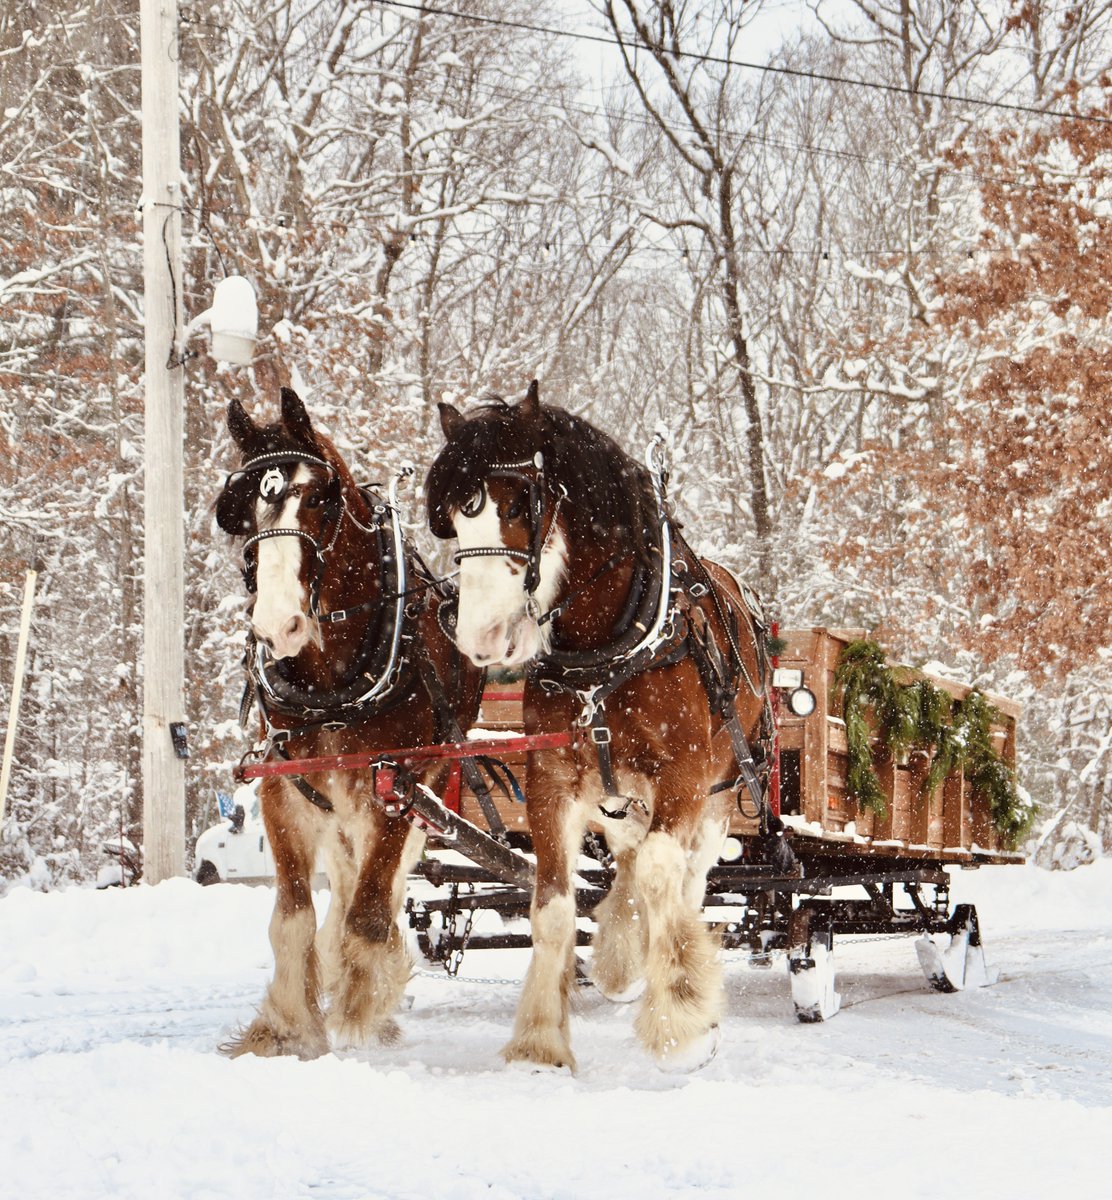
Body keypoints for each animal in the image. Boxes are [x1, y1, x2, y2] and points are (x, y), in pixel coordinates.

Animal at [215, 386, 483, 1058]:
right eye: (242, 510)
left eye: (318, 498)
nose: (276, 625)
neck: (332, 686)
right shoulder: (283, 787)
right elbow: (292, 919)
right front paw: (288, 1026)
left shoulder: (398, 783)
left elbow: (369, 908)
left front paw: (363, 1010)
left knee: (378, 887)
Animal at [426, 381, 789, 1071]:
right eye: (453, 516)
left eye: (520, 500)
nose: (481, 637)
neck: (605, 645)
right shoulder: (552, 778)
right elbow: (553, 905)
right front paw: (540, 1039)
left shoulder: (683, 773)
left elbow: (660, 873)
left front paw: (682, 1021)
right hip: (620, 794)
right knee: (628, 854)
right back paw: (623, 950)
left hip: (722, 791)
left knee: (685, 876)